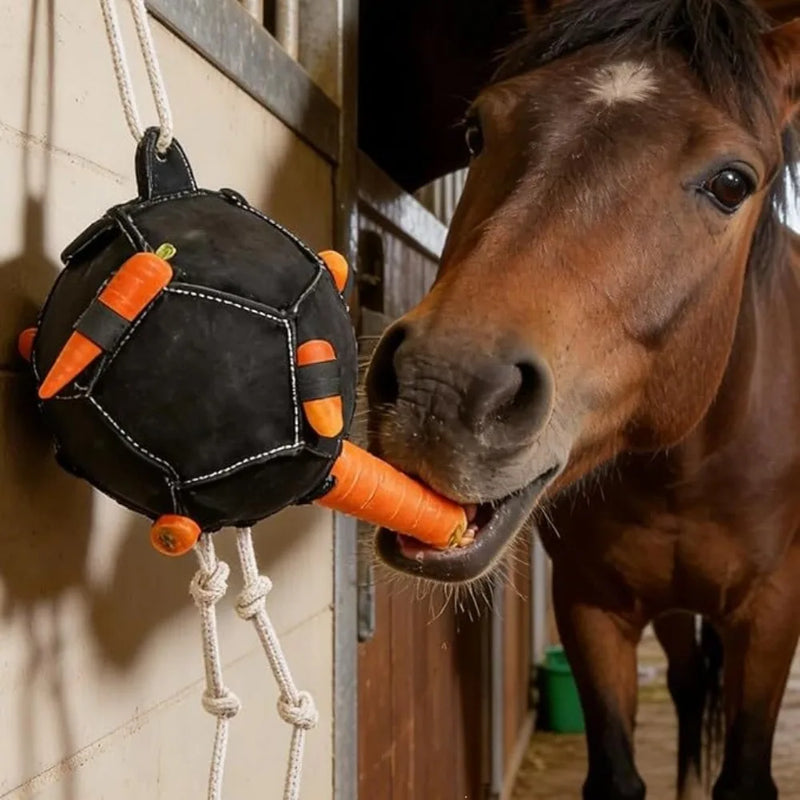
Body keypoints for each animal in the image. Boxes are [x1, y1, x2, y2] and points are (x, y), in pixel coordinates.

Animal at [364, 1, 800, 798]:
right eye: (477, 131)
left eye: (732, 183)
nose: (441, 389)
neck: (684, 470)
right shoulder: (589, 606)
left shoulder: (772, 613)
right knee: (686, 685)